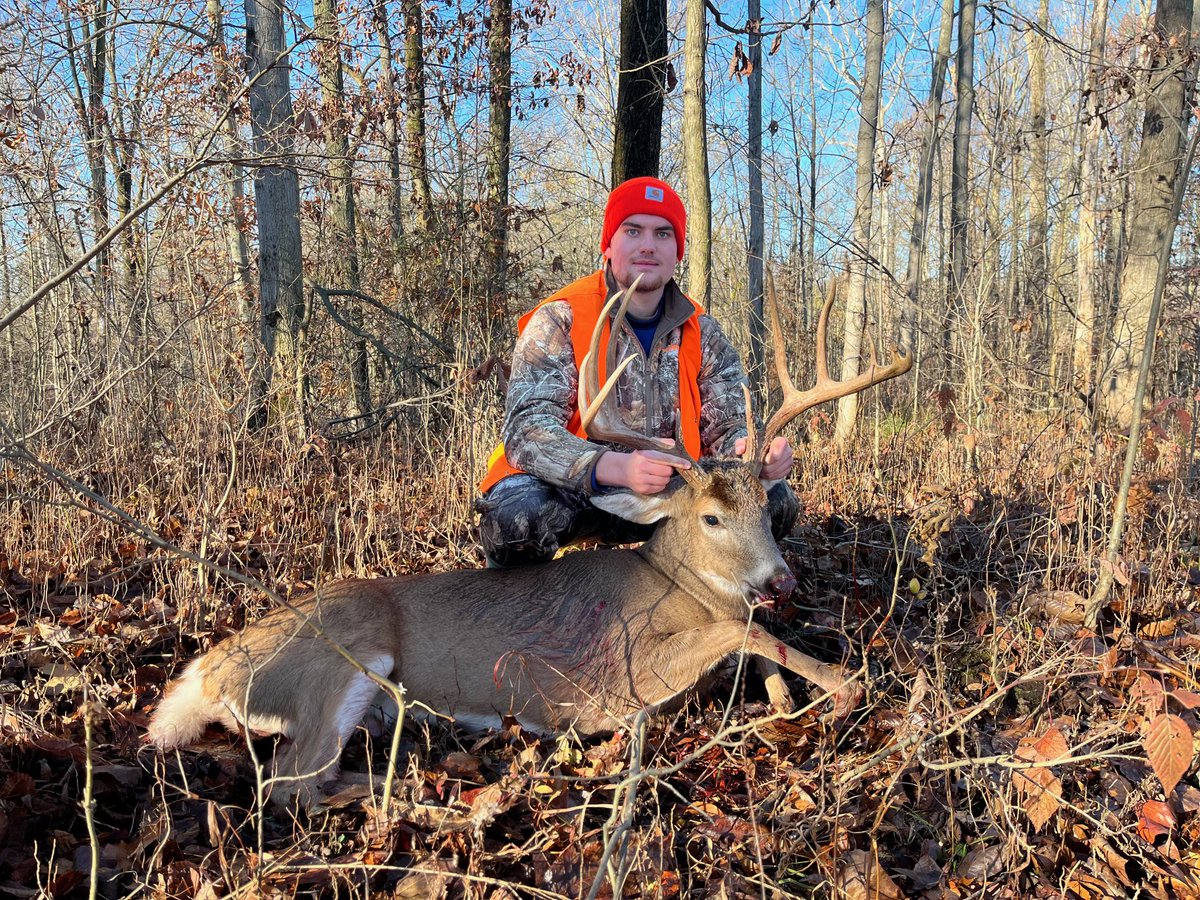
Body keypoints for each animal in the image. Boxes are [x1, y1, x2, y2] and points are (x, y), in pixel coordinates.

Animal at [147, 278, 912, 809]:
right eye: (711, 519)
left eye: (762, 509)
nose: (781, 581)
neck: (679, 587)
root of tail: (203, 673)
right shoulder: (621, 677)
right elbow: (745, 633)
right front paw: (844, 688)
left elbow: (754, 636)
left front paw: (785, 697)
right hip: (341, 660)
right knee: (286, 784)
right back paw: (422, 787)